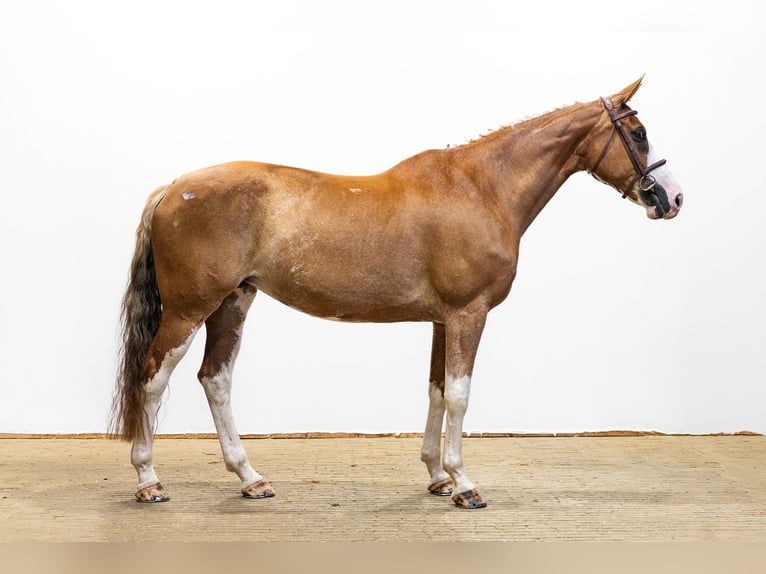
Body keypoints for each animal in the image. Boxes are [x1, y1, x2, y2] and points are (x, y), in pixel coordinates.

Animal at [111, 77, 683, 509]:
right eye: (638, 132)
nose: (672, 198)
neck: (481, 188)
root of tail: (173, 187)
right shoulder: (469, 314)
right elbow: (460, 395)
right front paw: (465, 484)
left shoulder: (443, 319)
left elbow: (437, 389)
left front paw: (438, 477)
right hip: (188, 310)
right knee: (153, 377)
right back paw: (149, 481)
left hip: (233, 302)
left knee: (216, 380)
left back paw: (251, 479)